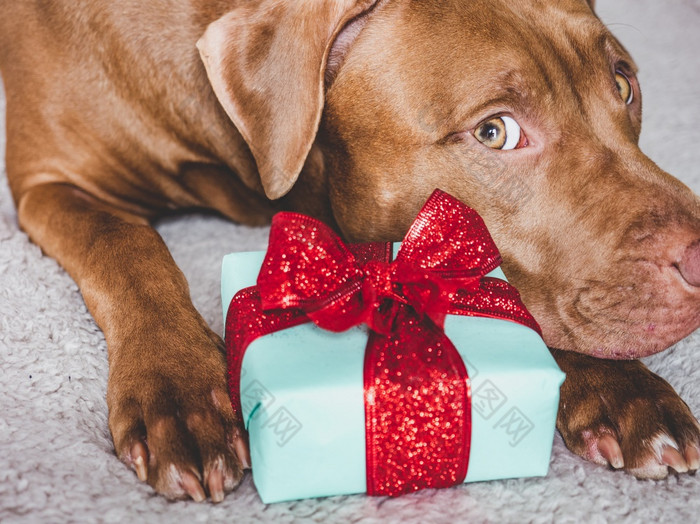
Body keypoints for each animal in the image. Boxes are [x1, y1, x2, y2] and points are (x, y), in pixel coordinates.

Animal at [1, 0, 700, 502]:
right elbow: (127, 243)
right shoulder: (50, 183)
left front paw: (624, 389)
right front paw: (178, 389)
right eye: (495, 132)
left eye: (623, 84)